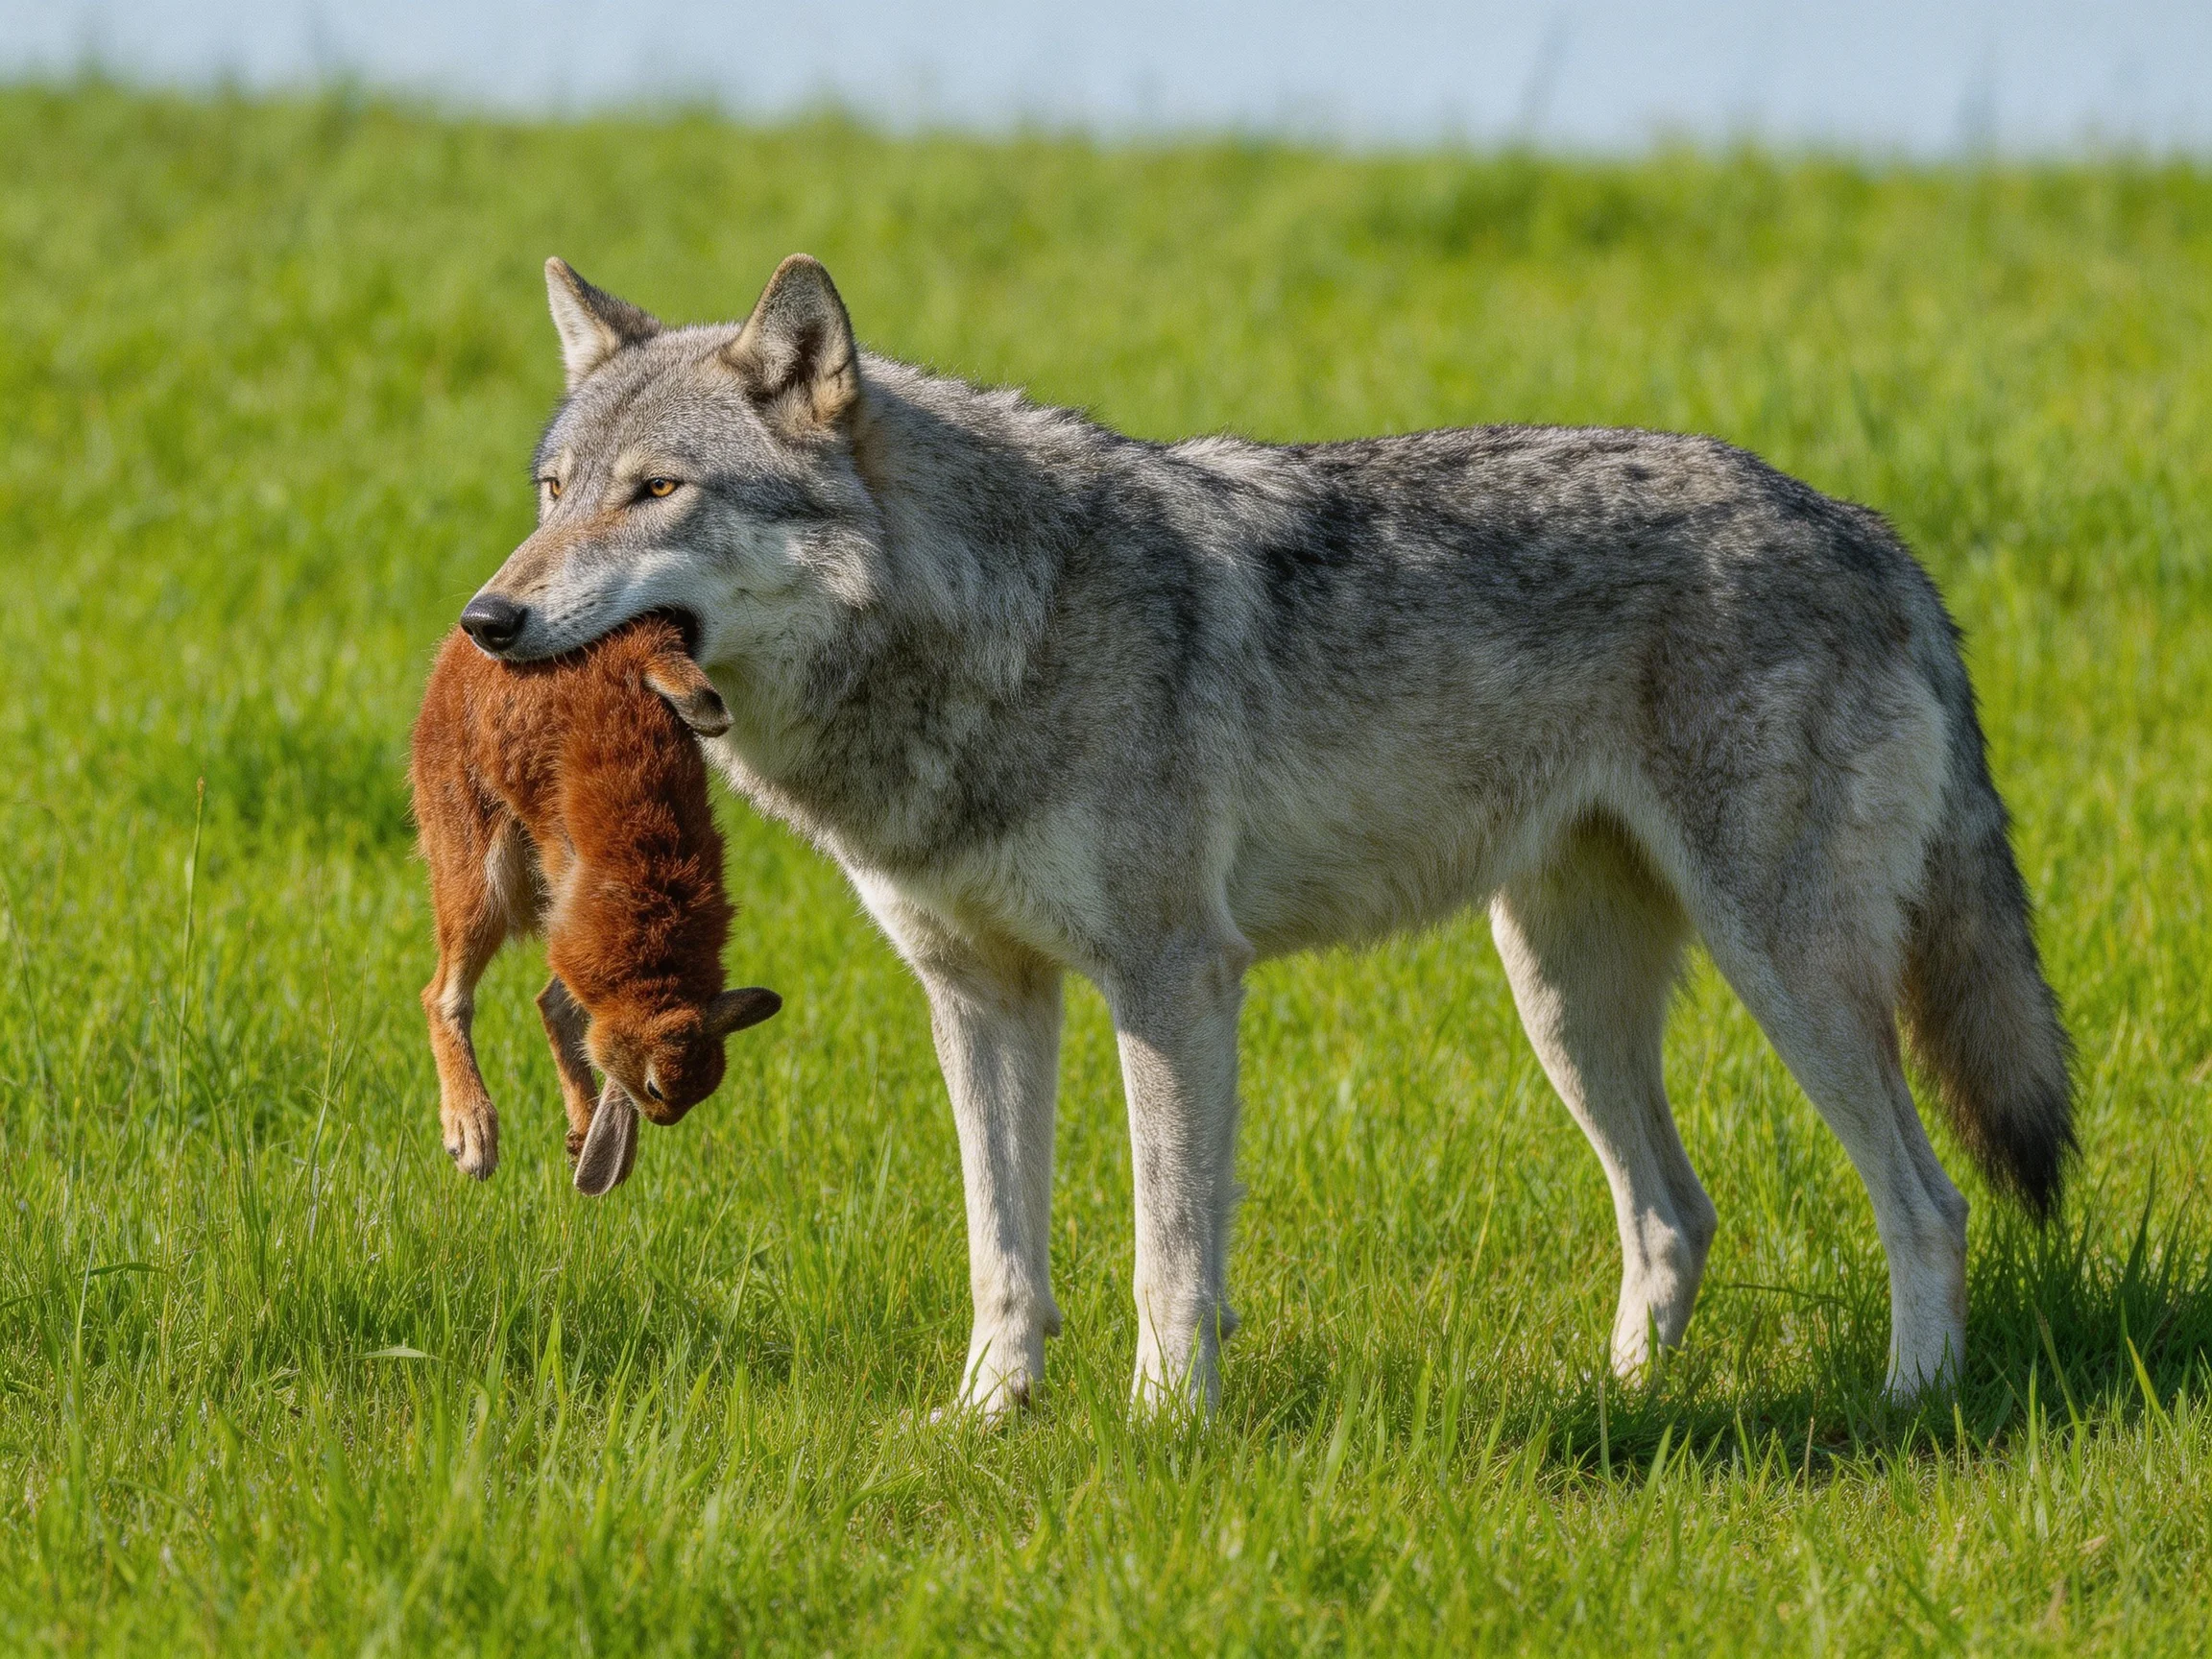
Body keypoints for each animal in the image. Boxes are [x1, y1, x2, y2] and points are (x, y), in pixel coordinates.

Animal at [455, 252, 2072, 1416]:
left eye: (659, 491)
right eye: (551, 493)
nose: (487, 621)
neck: (988, 629)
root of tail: (1869, 528)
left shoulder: (1175, 982)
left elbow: (1169, 1250)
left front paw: (1167, 1430)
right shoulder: (978, 994)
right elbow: (1002, 1251)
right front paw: (990, 1417)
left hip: (1784, 974)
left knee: (1929, 1203)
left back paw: (1908, 1410)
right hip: (1563, 1001)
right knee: (1676, 1213)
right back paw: (1622, 1404)